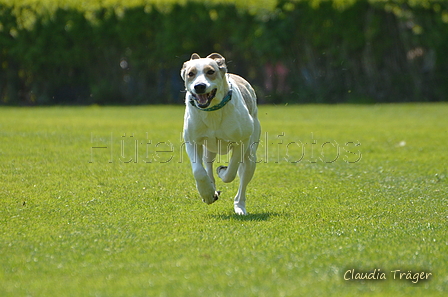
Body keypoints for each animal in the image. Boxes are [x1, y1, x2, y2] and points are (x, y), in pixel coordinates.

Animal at [180, 53, 260, 214]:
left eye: (210, 71)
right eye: (191, 74)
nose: (199, 86)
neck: (212, 111)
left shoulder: (242, 141)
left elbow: (231, 171)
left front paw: (222, 171)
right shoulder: (192, 141)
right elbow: (199, 171)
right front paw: (207, 194)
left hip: (251, 155)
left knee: (243, 178)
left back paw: (239, 206)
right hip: (209, 149)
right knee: (208, 164)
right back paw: (212, 188)